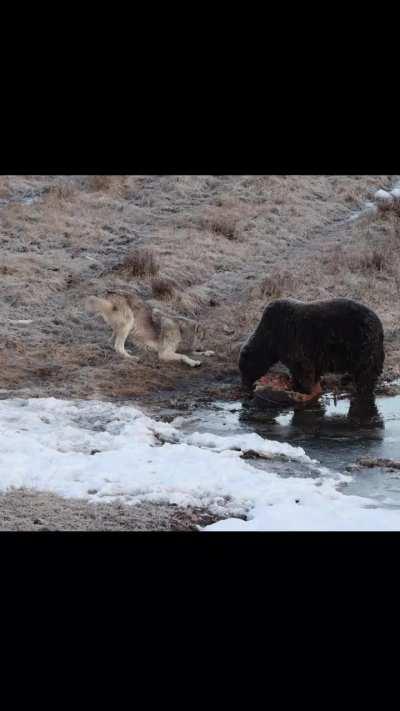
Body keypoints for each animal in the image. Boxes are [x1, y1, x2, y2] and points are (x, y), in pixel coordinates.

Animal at [239, 297, 384, 399]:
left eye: (244, 370)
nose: (244, 387)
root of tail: (379, 325)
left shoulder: (291, 339)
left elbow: (302, 367)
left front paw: (304, 389)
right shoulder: (314, 353)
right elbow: (312, 370)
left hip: (361, 343)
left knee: (365, 372)